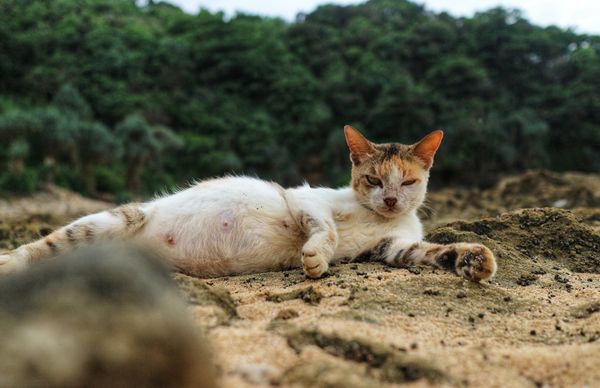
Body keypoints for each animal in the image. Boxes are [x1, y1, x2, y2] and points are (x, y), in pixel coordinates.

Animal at [0, 127, 496, 282]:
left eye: (408, 181)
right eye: (374, 179)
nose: (391, 199)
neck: (378, 218)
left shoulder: (390, 248)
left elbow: (428, 253)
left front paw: (474, 259)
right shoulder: (303, 198)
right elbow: (327, 228)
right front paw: (316, 257)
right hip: (108, 220)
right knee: (38, 249)